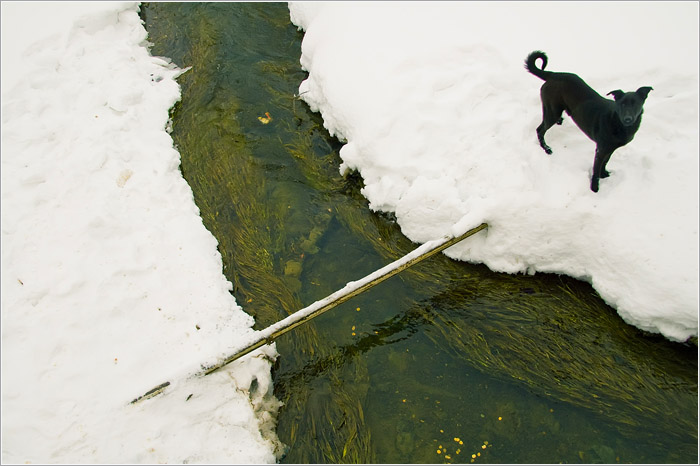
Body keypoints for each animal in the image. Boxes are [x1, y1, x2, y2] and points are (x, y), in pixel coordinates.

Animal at [524, 49, 652, 191]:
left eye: (635, 104)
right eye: (622, 104)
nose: (628, 119)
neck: (617, 122)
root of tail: (553, 74)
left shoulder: (610, 149)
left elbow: (605, 162)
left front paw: (604, 174)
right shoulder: (601, 150)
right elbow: (596, 170)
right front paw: (595, 188)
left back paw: (560, 122)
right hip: (552, 112)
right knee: (540, 129)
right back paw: (546, 148)